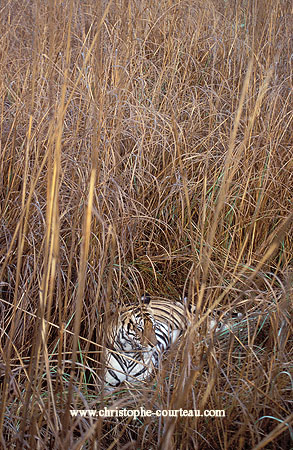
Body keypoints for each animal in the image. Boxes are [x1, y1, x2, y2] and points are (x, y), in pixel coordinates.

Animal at [103, 292, 242, 386]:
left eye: (153, 326)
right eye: (139, 328)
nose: (154, 345)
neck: (129, 354)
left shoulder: (140, 383)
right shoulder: (106, 386)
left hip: (196, 321)